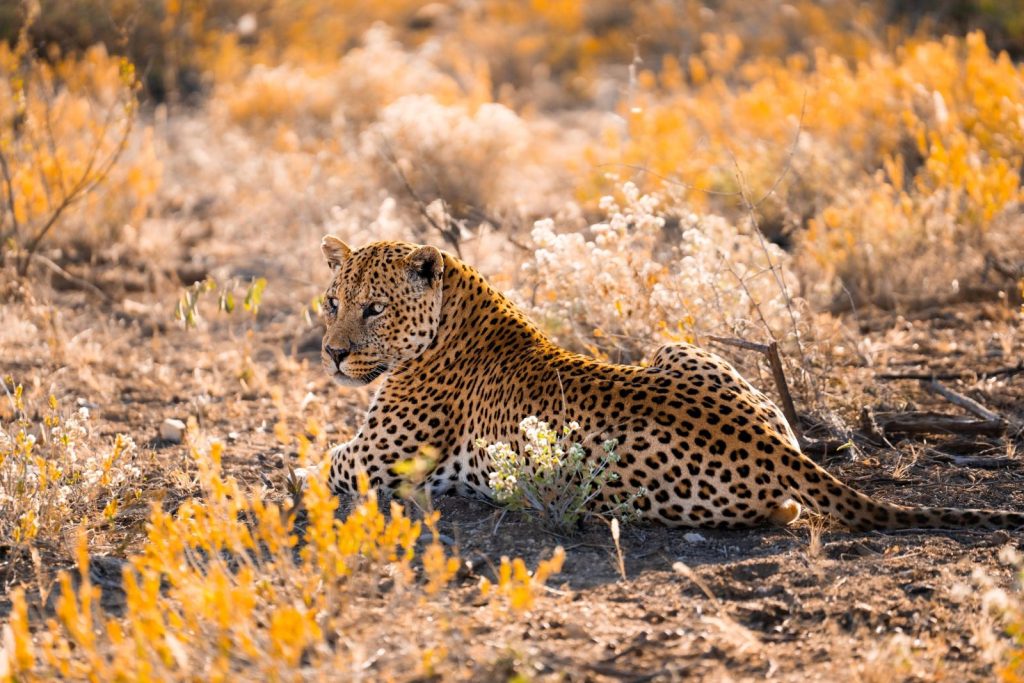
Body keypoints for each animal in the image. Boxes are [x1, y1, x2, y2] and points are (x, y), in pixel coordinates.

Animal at [318, 236, 1024, 531]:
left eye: (372, 309)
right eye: (332, 302)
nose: (331, 354)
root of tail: (766, 444)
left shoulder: (376, 462)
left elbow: (315, 465)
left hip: (591, 473)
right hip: (678, 348)